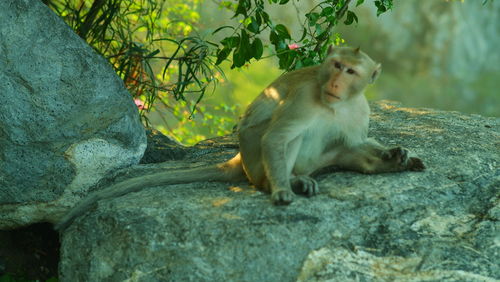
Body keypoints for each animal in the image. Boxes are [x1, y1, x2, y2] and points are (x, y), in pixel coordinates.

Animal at [54, 46, 424, 231]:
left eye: (350, 71)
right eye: (334, 65)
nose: (334, 82)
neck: (337, 102)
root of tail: (239, 160)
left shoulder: (360, 109)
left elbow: (355, 142)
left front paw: (395, 153)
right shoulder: (303, 99)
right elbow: (277, 138)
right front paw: (281, 190)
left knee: (340, 148)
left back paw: (390, 165)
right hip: (256, 159)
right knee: (282, 139)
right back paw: (290, 181)